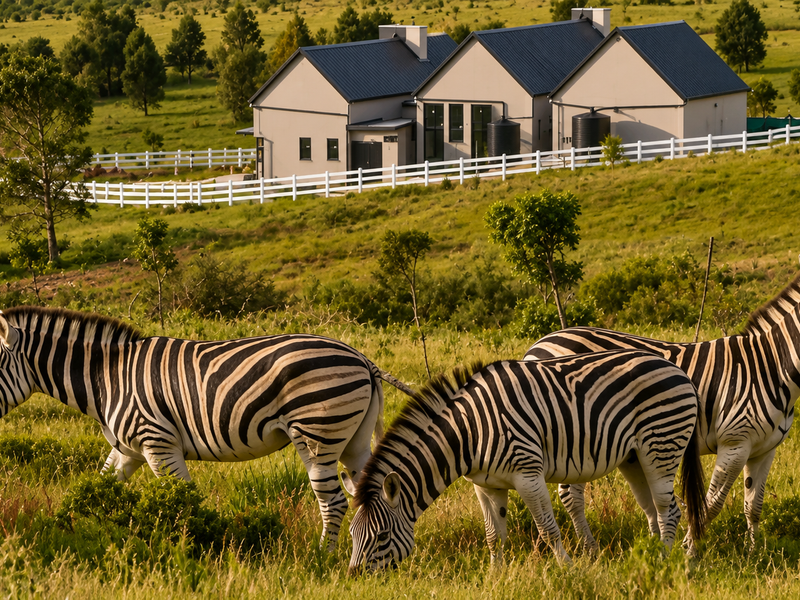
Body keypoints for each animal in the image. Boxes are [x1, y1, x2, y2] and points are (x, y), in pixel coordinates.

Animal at [0, 305, 411, 550]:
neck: (107, 376)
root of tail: (362, 358)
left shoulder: (158, 443)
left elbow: (183, 501)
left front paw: (190, 545)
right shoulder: (127, 450)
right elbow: (96, 488)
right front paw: (71, 531)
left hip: (317, 435)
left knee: (333, 501)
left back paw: (323, 556)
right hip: (353, 441)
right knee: (368, 495)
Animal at [345, 350, 706, 571]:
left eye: (381, 537)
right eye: (351, 534)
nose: (355, 577)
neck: (469, 433)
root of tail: (677, 369)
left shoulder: (528, 474)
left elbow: (548, 529)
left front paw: (568, 570)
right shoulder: (485, 485)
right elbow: (494, 534)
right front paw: (495, 575)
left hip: (662, 444)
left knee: (670, 509)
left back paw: (665, 560)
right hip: (634, 457)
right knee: (653, 510)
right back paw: (652, 556)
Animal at [524, 273, 800, 551]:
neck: (770, 365)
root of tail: (537, 345)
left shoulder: (764, 449)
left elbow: (753, 505)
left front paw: (755, 552)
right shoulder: (735, 442)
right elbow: (711, 505)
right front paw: (689, 548)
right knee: (571, 495)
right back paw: (590, 549)